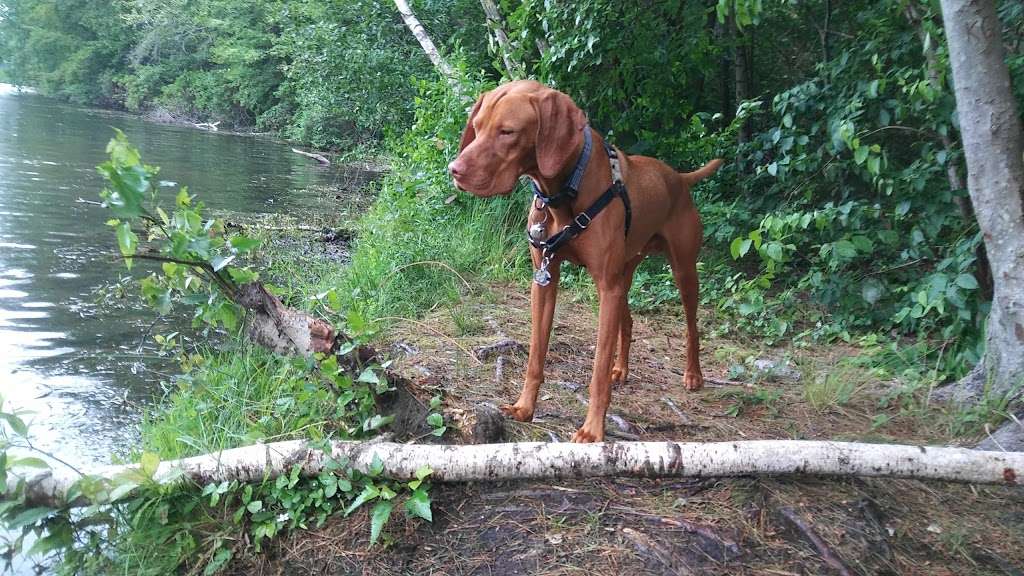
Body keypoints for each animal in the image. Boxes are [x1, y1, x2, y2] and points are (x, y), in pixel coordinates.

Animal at [448, 79, 720, 438]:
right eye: (477, 128)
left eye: (507, 132)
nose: (454, 170)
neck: (565, 190)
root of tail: (677, 177)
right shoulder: (545, 280)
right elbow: (535, 356)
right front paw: (524, 407)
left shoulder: (606, 285)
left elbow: (597, 371)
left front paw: (592, 429)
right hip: (624, 274)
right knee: (627, 321)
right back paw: (622, 368)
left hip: (682, 271)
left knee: (691, 326)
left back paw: (693, 374)